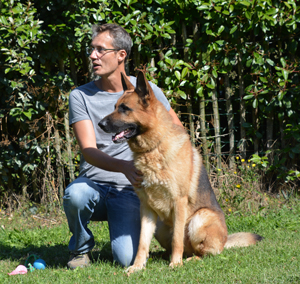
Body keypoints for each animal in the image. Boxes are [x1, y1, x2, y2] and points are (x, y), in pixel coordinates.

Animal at [99, 72, 262, 274]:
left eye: (124, 109)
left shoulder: (179, 202)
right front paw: (137, 266)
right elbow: (142, 242)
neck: (154, 148)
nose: (100, 124)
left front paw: (175, 264)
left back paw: (189, 259)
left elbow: (177, 239)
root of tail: (225, 241)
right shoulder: (146, 208)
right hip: (161, 225)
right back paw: (161, 256)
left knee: (204, 252)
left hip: (199, 219)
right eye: (115, 107)